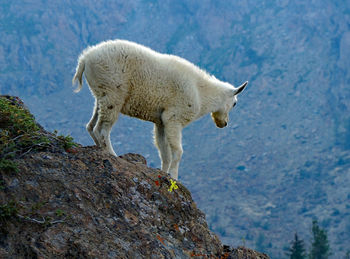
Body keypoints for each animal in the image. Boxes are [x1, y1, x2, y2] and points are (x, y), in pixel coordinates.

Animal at [72, 39, 246, 181]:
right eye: (235, 103)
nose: (224, 123)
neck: (201, 92)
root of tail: (85, 59)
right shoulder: (174, 118)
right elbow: (177, 151)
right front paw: (174, 176)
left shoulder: (161, 122)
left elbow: (164, 153)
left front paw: (164, 172)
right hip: (113, 95)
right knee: (102, 129)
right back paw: (112, 155)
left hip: (101, 95)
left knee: (91, 125)